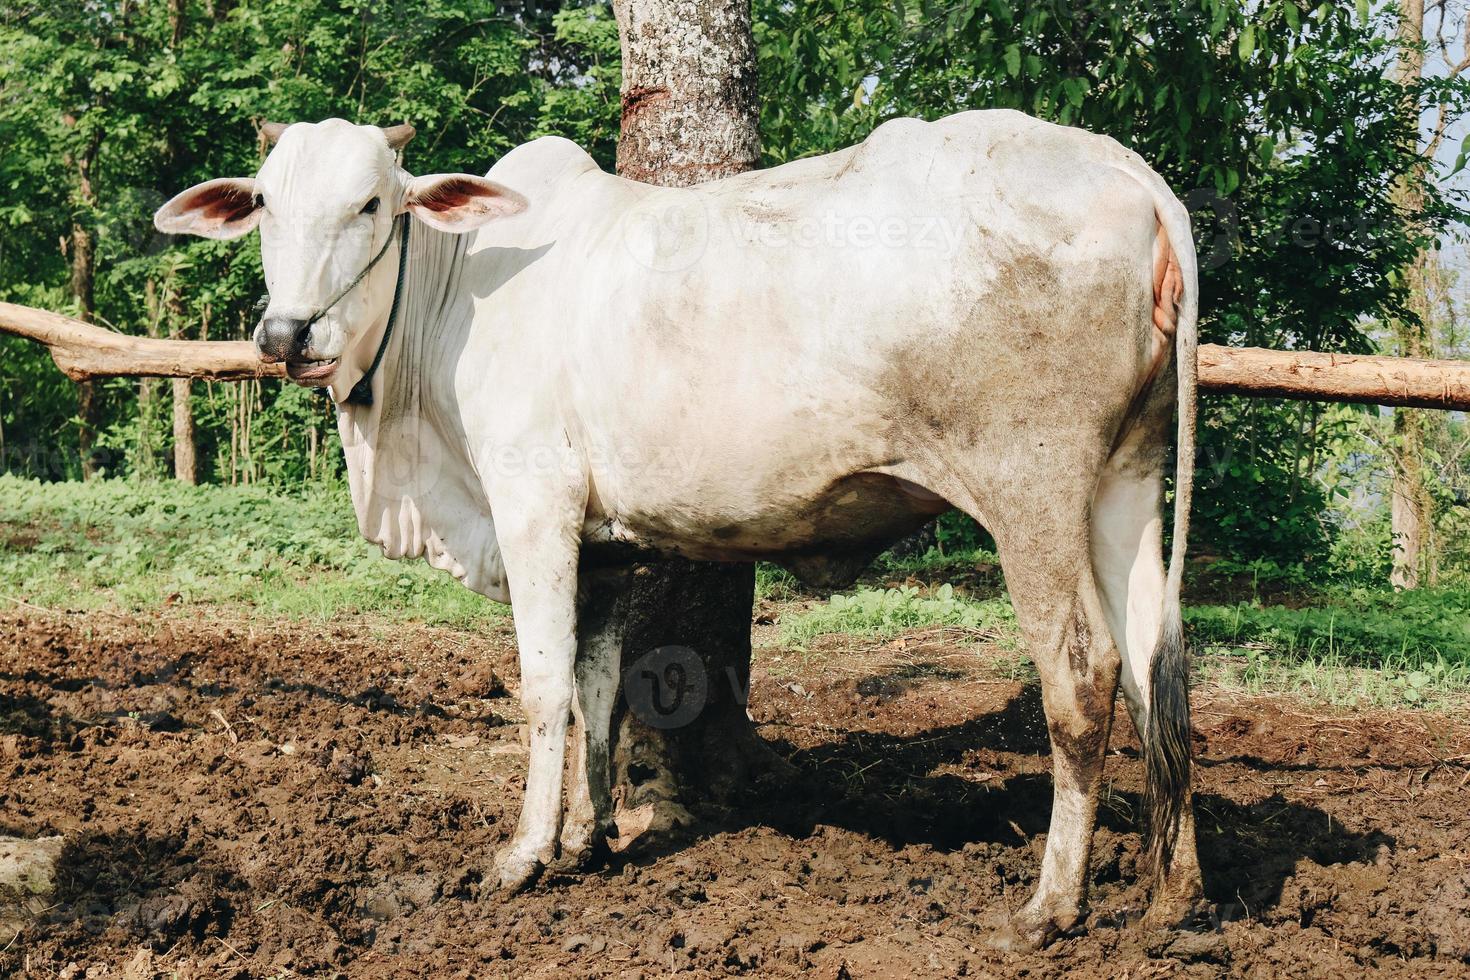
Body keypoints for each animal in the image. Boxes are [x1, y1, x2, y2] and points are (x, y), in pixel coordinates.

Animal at [155, 113, 1199, 952]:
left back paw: (1050, 909)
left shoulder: (532, 506)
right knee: (1158, 665)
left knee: (1084, 670)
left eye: (372, 204)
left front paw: (524, 854)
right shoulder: (607, 549)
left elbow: (543, 687)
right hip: (1126, 479)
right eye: (266, 206)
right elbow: (597, 689)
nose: (286, 335)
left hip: (1033, 486)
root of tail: (1128, 171)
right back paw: (1173, 897)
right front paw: (589, 838)